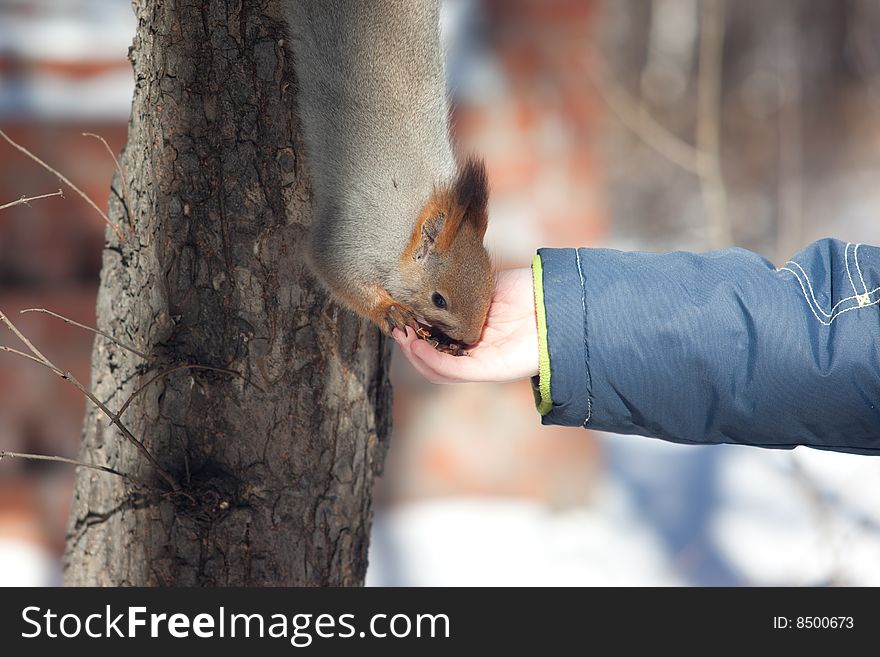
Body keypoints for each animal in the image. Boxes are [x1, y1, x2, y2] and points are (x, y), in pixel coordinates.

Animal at [288, 0, 496, 352]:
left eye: (490, 283)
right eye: (439, 300)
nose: (469, 340)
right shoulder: (353, 236)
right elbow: (331, 269)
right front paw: (389, 309)